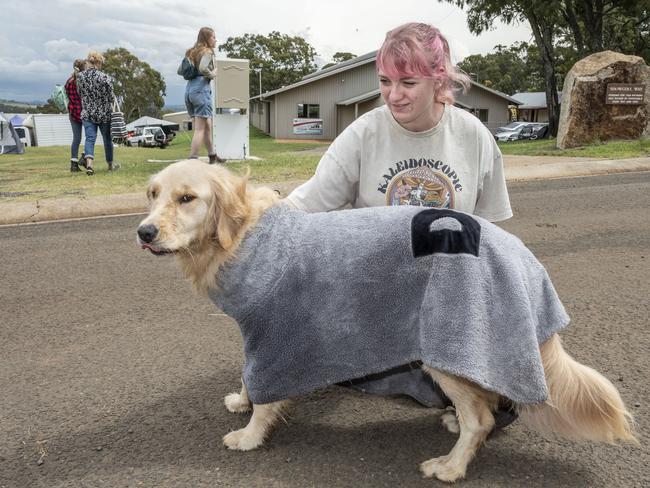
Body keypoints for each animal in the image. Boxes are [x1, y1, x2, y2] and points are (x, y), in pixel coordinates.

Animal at [135, 161, 632, 484]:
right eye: (153, 194)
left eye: (187, 198)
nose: (144, 232)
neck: (242, 236)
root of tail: (523, 255)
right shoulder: (258, 334)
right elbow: (247, 377)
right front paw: (240, 401)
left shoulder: (271, 335)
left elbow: (265, 394)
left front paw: (249, 435)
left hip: (446, 347)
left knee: (480, 419)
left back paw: (450, 465)